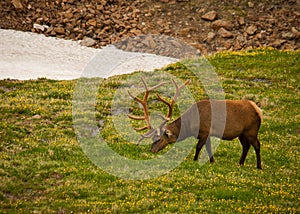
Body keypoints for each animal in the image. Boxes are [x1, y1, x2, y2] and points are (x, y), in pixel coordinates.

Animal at [127, 77, 262, 170]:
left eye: (159, 139)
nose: (152, 150)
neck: (190, 126)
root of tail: (258, 110)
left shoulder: (204, 131)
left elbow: (198, 147)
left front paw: (195, 160)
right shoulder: (207, 134)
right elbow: (208, 148)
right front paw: (212, 161)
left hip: (251, 130)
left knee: (257, 145)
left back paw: (259, 166)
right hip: (242, 133)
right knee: (246, 146)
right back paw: (240, 163)